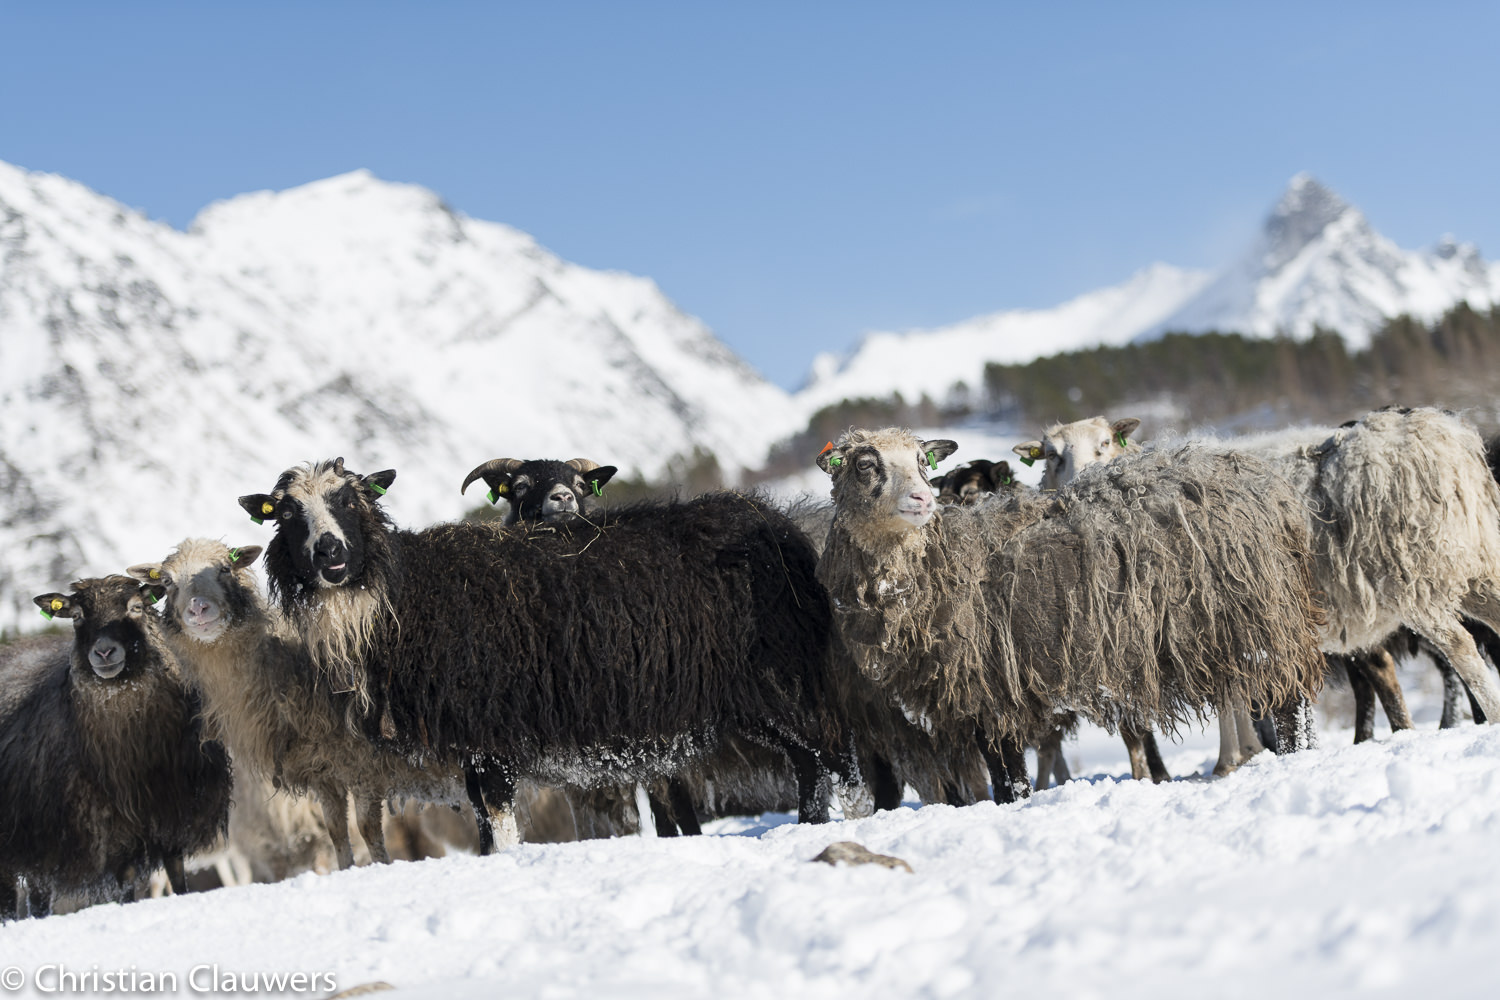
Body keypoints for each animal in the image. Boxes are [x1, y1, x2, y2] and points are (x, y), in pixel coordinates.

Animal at [0, 577, 232, 919]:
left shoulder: (173, 809)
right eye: (77, 616)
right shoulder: (113, 826)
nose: (104, 651)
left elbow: (176, 873)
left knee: (38, 896)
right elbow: (126, 881)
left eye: (136, 607)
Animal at [126, 538, 475, 869]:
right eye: (167, 581)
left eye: (225, 568)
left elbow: (368, 831)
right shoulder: (324, 773)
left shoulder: (364, 764)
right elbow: (338, 834)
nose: (198, 609)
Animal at [237, 459, 858, 848]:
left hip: (785, 676)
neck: (402, 594)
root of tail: (782, 524)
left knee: (832, 756)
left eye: (348, 499)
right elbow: (484, 825)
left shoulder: (490, 729)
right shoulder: (471, 738)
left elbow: (499, 819)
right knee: (810, 762)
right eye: (286, 514)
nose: (330, 554)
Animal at [815, 428, 1327, 800]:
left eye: (923, 462)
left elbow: (1010, 776)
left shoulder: (992, 685)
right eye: (865, 465)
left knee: (1291, 702)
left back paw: (1293, 758)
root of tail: (1271, 489)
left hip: (1259, 614)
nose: (922, 500)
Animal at [1032, 408, 1500, 742]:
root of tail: (1446, 438)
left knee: (1461, 648)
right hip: (1476, 564)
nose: (1080, 480)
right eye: (1052, 455)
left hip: (1412, 574)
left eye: (1104, 443)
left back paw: (1492, 715)